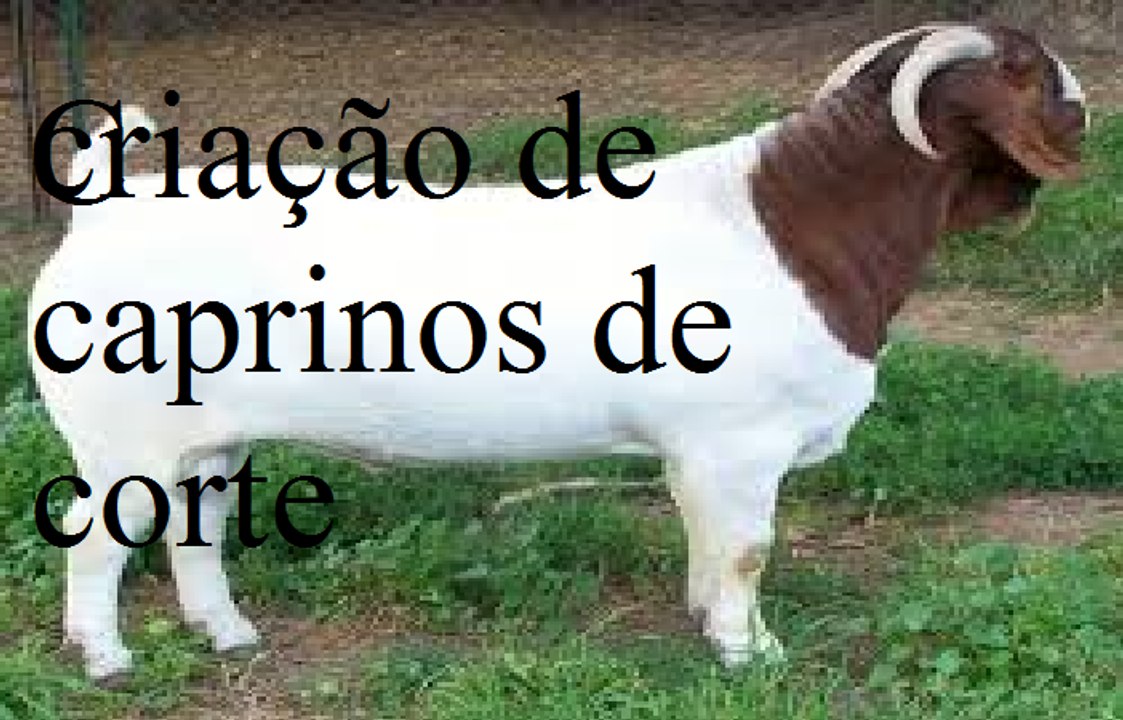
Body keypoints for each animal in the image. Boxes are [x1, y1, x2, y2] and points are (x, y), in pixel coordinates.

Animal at [26, 24, 1086, 680]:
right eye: (1040, 80)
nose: (1088, 117)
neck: (793, 221)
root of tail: (109, 203)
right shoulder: (739, 444)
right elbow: (747, 550)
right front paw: (754, 656)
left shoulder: (697, 454)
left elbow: (707, 545)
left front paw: (706, 626)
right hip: (120, 442)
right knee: (95, 536)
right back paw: (106, 659)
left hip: (205, 438)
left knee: (195, 525)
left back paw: (230, 637)